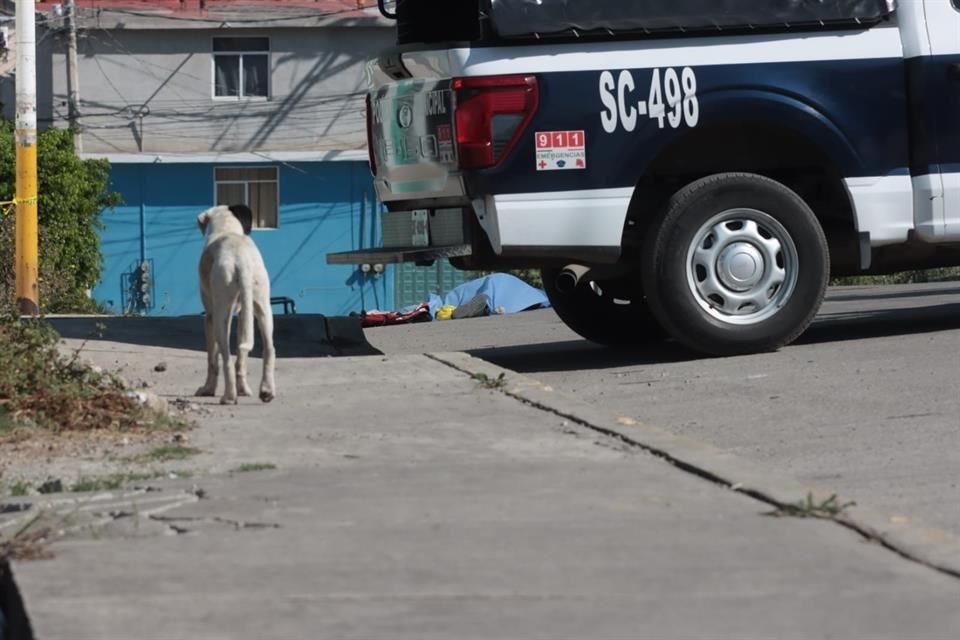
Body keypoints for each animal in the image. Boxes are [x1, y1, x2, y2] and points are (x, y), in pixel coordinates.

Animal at [192, 204, 274, 404]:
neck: (227, 230)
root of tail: (241, 258)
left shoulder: (210, 318)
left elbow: (212, 359)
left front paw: (207, 389)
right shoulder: (245, 313)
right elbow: (241, 357)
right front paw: (243, 390)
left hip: (221, 316)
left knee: (226, 357)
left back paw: (229, 396)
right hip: (263, 309)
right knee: (269, 349)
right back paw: (266, 391)